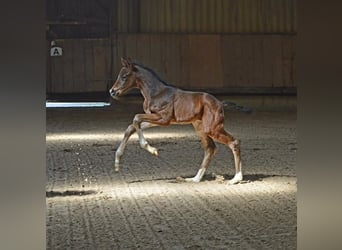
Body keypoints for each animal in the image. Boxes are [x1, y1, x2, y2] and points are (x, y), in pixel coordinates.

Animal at [109, 57, 243, 185]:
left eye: (124, 76)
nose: (112, 91)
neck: (156, 93)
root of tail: (220, 103)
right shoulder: (155, 118)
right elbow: (131, 127)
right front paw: (117, 161)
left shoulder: (164, 118)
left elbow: (136, 118)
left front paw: (152, 150)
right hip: (200, 128)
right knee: (210, 148)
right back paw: (195, 179)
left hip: (211, 128)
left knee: (234, 142)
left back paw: (236, 179)